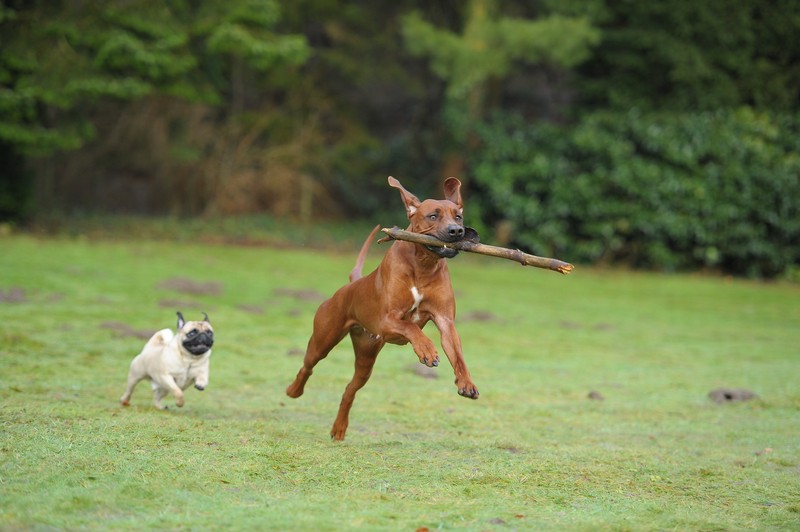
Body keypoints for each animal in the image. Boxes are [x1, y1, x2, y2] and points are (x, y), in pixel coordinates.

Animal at [286, 176, 478, 440]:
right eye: (433, 216)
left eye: (458, 217)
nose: (457, 231)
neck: (423, 264)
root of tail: (351, 284)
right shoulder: (386, 321)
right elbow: (411, 327)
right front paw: (427, 350)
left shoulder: (445, 321)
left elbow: (457, 354)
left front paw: (466, 382)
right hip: (323, 339)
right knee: (308, 365)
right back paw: (294, 390)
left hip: (366, 358)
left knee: (350, 389)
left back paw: (339, 428)